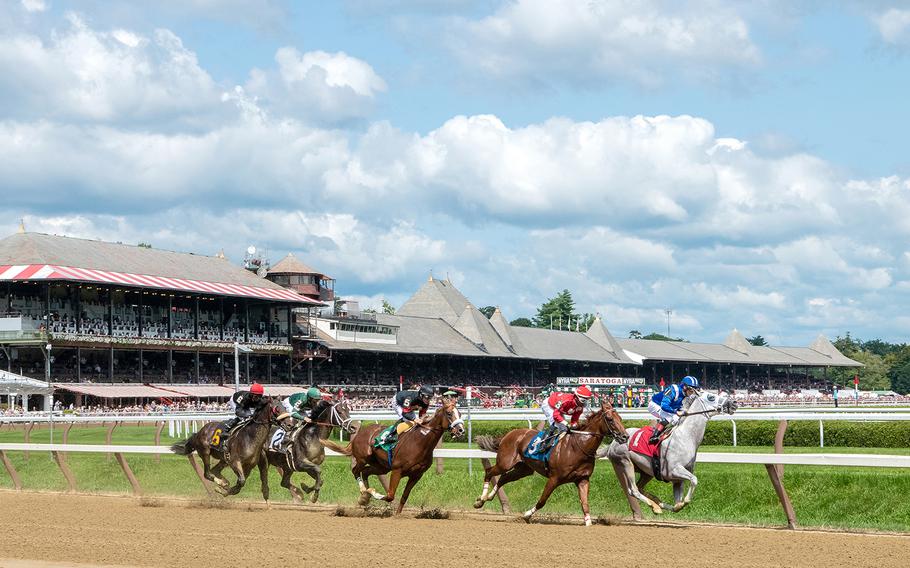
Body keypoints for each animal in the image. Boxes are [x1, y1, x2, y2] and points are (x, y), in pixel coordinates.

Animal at [320, 394, 466, 516]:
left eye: (459, 413)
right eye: (449, 413)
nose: (461, 430)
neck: (421, 441)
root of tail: (360, 433)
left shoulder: (416, 475)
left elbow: (404, 496)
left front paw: (397, 514)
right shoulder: (397, 470)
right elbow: (390, 495)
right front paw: (373, 492)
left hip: (382, 466)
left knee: (366, 472)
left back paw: (365, 496)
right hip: (363, 458)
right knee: (355, 470)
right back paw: (364, 494)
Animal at [474, 400, 632, 528]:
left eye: (621, 418)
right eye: (610, 419)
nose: (625, 436)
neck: (578, 447)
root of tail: (509, 434)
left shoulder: (583, 479)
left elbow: (585, 503)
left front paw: (588, 523)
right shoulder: (554, 478)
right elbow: (542, 500)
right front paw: (527, 515)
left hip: (524, 469)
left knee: (503, 478)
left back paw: (487, 498)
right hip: (505, 463)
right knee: (489, 471)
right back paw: (480, 500)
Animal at [604, 392, 740, 516]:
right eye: (711, 397)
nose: (733, 403)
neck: (686, 437)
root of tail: (613, 443)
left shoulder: (678, 480)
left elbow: (677, 505)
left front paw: (670, 505)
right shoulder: (673, 470)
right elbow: (694, 480)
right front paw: (682, 502)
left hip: (647, 471)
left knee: (639, 487)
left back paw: (656, 505)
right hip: (625, 463)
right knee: (633, 490)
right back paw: (654, 506)